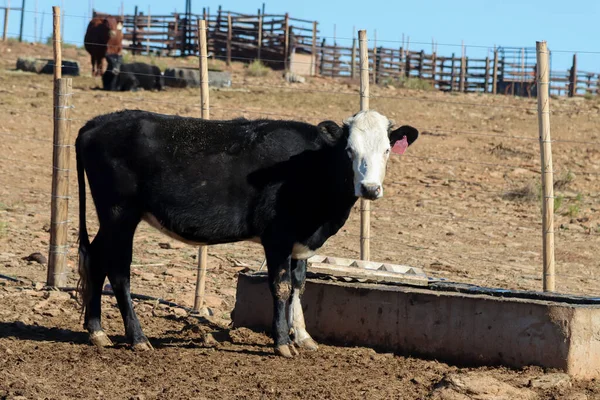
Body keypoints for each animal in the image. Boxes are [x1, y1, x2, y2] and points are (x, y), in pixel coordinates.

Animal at [75, 108, 418, 356]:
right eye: (349, 150)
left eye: (387, 150)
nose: (370, 188)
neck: (310, 167)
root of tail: (97, 123)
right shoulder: (277, 237)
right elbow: (281, 287)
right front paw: (283, 344)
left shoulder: (301, 240)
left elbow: (299, 285)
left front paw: (303, 336)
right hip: (120, 214)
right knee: (119, 271)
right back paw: (137, 338)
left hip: (112, 219)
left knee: (96, 259)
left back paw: (97, 332)